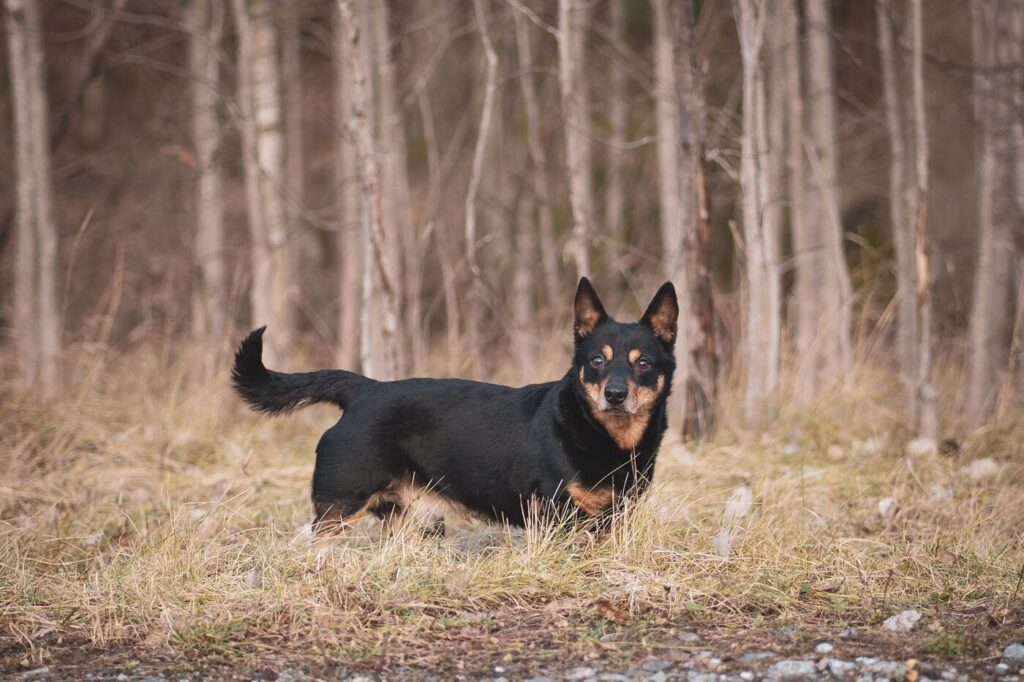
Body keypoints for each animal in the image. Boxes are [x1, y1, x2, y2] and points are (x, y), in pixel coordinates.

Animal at [233, 276, 679, 532]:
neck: (603, 434)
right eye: (597, 361)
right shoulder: (558, 518)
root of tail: (364, 389)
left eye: (643, 363)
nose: (615, 394)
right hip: (341, 505)